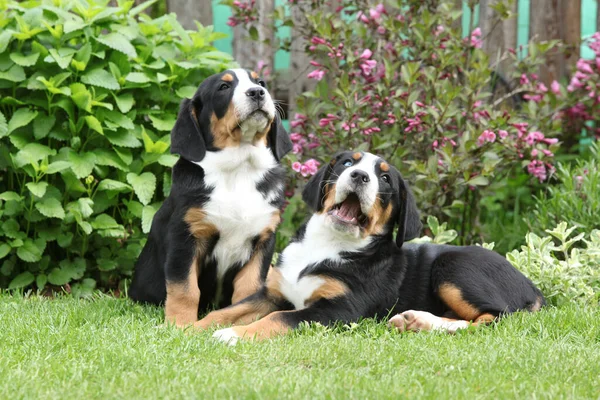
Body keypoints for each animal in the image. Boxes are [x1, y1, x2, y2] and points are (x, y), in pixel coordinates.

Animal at [129, 69, 292, 326]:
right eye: (223, 88)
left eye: (260, 82)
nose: (257, 92)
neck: (239, 168)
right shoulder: (185, 237)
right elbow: (184, 289)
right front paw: (180, 325)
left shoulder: (263, 240)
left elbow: (249, 288)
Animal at [195, 150, 548, 344]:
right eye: (346, 163)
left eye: (386, 179)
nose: (360, 176)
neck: (328, 244)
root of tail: (533, 287)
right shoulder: (272, 292)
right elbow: (226, 311)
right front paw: (189, 329)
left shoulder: (340, 309)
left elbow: (280, 318)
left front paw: (233, 335)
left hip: (453, 267)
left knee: (493, 319)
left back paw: (421, 322)